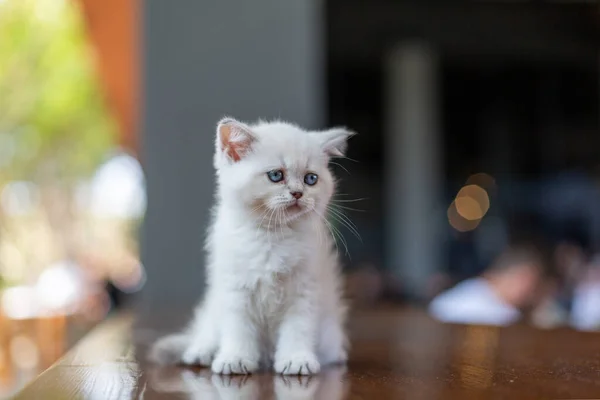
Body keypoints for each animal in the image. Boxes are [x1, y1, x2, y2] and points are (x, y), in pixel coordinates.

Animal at [150, 116, 354, 376]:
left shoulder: (306, 289)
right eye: (276, 175)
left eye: (311, 179)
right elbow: (238, 328)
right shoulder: (235, 288)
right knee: (207, 330)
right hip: (214, 304)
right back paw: (200, 352)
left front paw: (296, 359)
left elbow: (298, 328)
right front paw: (235, 359)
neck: (272, 236)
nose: (298, 193)